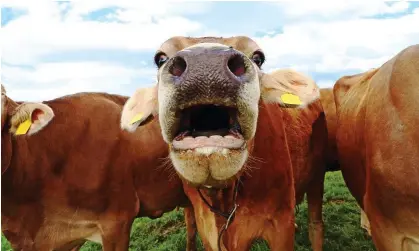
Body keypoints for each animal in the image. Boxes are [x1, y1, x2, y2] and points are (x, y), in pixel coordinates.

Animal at [120, 35, 328, 251]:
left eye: (258, 58)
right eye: (160, 58)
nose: (205, 62)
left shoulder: (282, 222)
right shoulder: (206, 227)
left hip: (317, 173)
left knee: (316, 225)